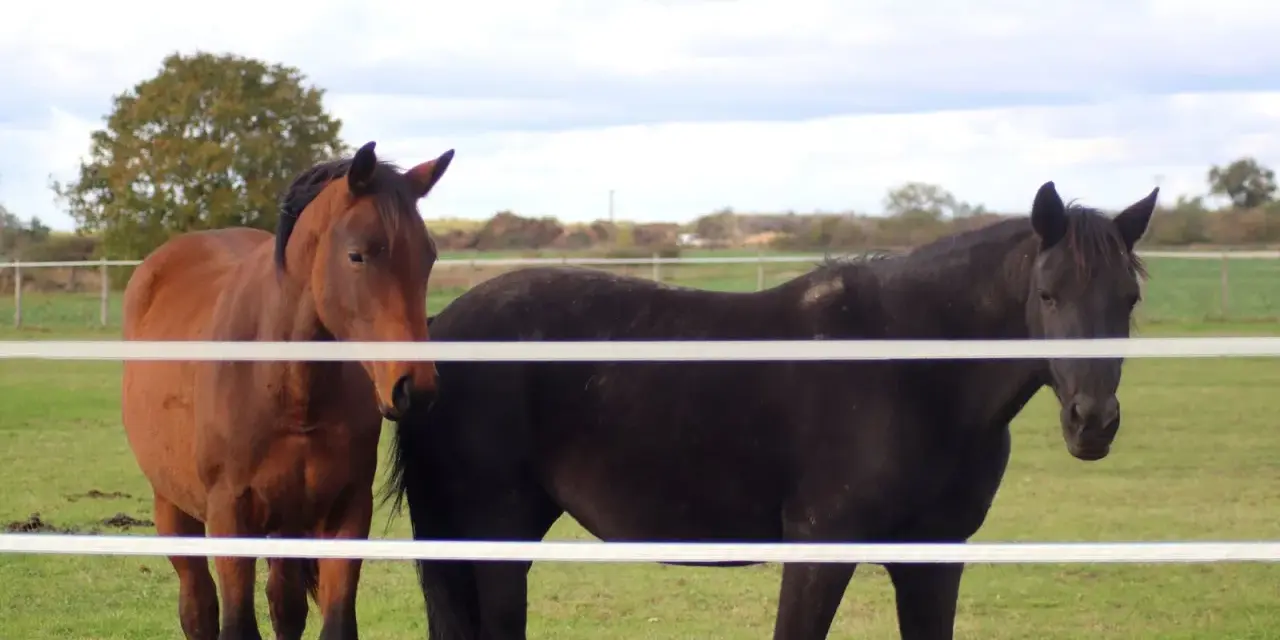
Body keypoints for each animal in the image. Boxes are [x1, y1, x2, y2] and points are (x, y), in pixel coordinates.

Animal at [120, 141, 454, 640]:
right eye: (357, 255)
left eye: (428, 256)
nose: (415, 386)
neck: (287, 388)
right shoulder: (229, 519)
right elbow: (236, 624)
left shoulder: (345, 513)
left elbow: (334, 623)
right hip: (174, 509)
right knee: (199, 606)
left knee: (285, 604)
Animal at [386, 180, 1158, 640]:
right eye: (1049, 294)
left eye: (1128, 298)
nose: (1093, 422)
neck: (911, 370)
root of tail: (442, 330)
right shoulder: (820, 549)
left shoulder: (934, 560)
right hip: (495, 533)